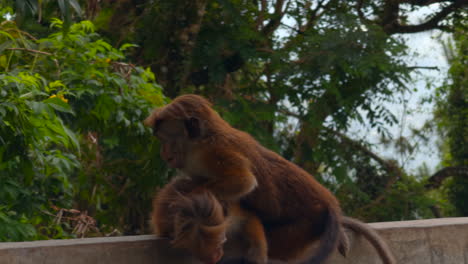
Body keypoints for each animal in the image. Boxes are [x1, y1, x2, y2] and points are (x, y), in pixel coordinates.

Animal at [144, 95, 394, 264]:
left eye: (167, 140)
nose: (164, 154)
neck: (199, 141)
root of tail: (329, 202)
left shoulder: (213, 152)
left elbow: (243, 181)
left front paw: (189, 195)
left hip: (306, 224)